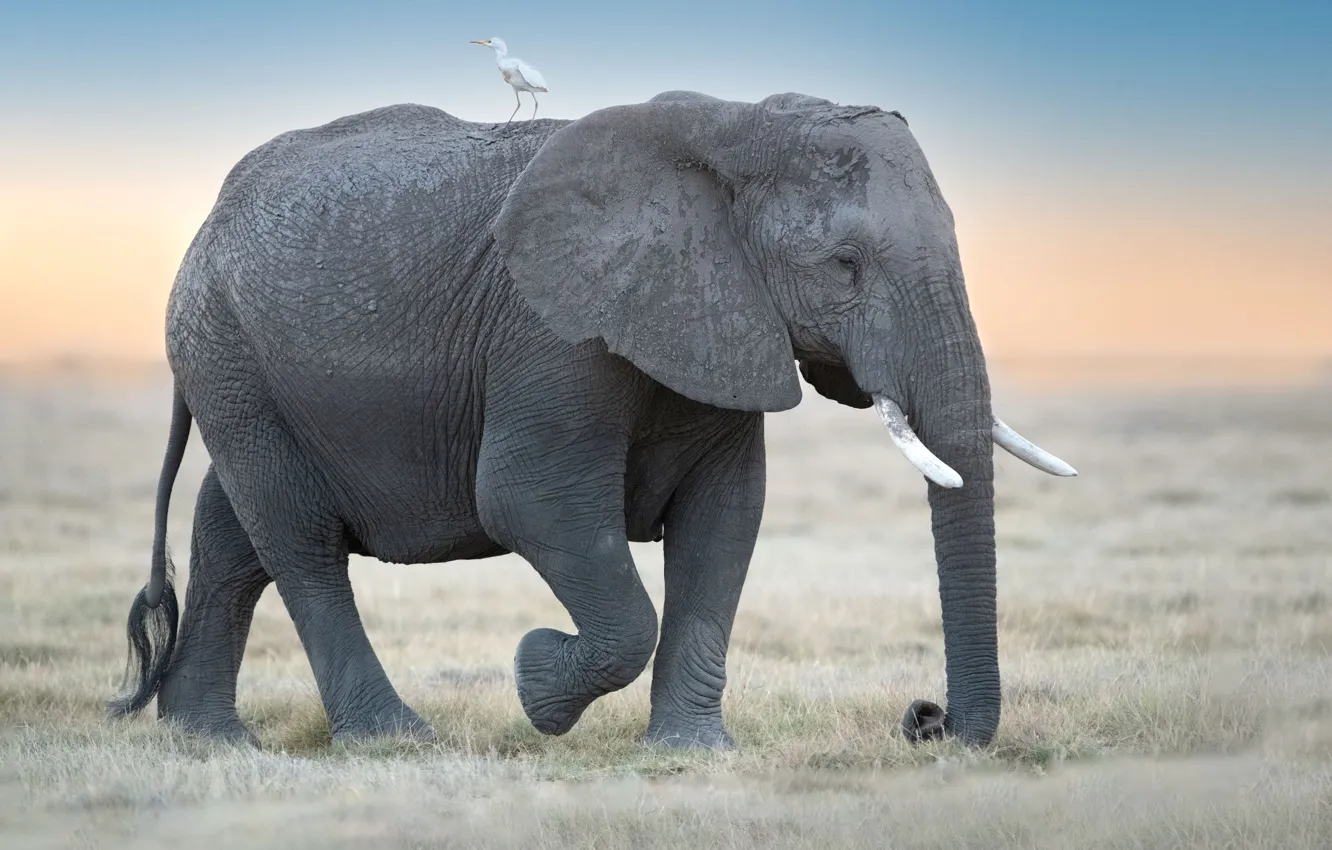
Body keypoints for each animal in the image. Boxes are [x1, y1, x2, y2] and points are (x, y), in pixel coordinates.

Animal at [107, 88, 1076, 750]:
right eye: (844, 263)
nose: (925, 718)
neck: (730, 131)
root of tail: (206, 225)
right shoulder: (552, 332)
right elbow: (529, 502)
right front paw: (537, 683)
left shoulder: (724, 322)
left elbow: (727, 518)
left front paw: (694, 751)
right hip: (227, 350)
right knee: (300, 543)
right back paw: (392, 738)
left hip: (245, 369)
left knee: (233, 530)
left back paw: (208, 740)